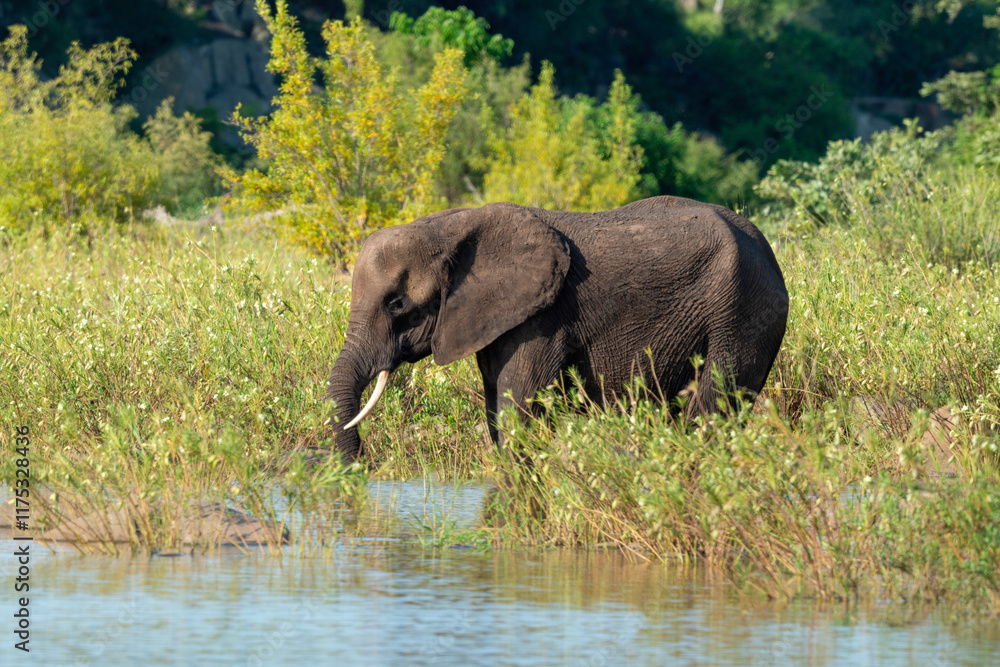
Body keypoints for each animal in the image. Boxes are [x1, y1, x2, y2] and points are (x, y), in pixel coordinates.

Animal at [327, 195, 789, 461]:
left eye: (397, 303)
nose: (365, 467)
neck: (450, 225)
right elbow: (497, 413)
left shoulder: (544, 319)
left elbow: (518, 411)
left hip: (740, 314)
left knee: (711, 412)